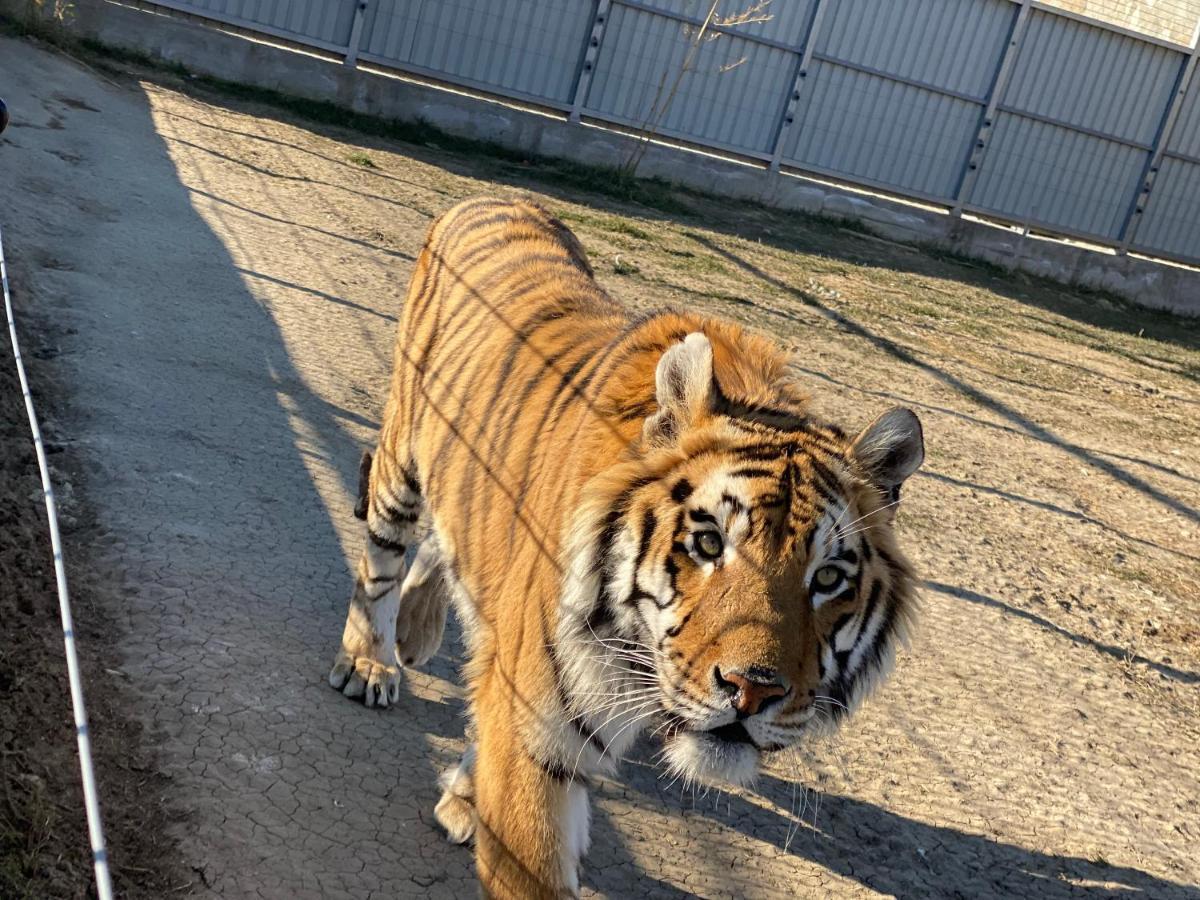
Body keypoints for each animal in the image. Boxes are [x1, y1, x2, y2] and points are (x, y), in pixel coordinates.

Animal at [324, 199, 921, 900]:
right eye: (708, 543)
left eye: (827, 578)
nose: (750, 692)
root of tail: (493, 197)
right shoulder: (538, 728)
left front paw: (466, 796)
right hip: (401, 463)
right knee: (382, 563)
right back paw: (370, 662)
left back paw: (416, 635)